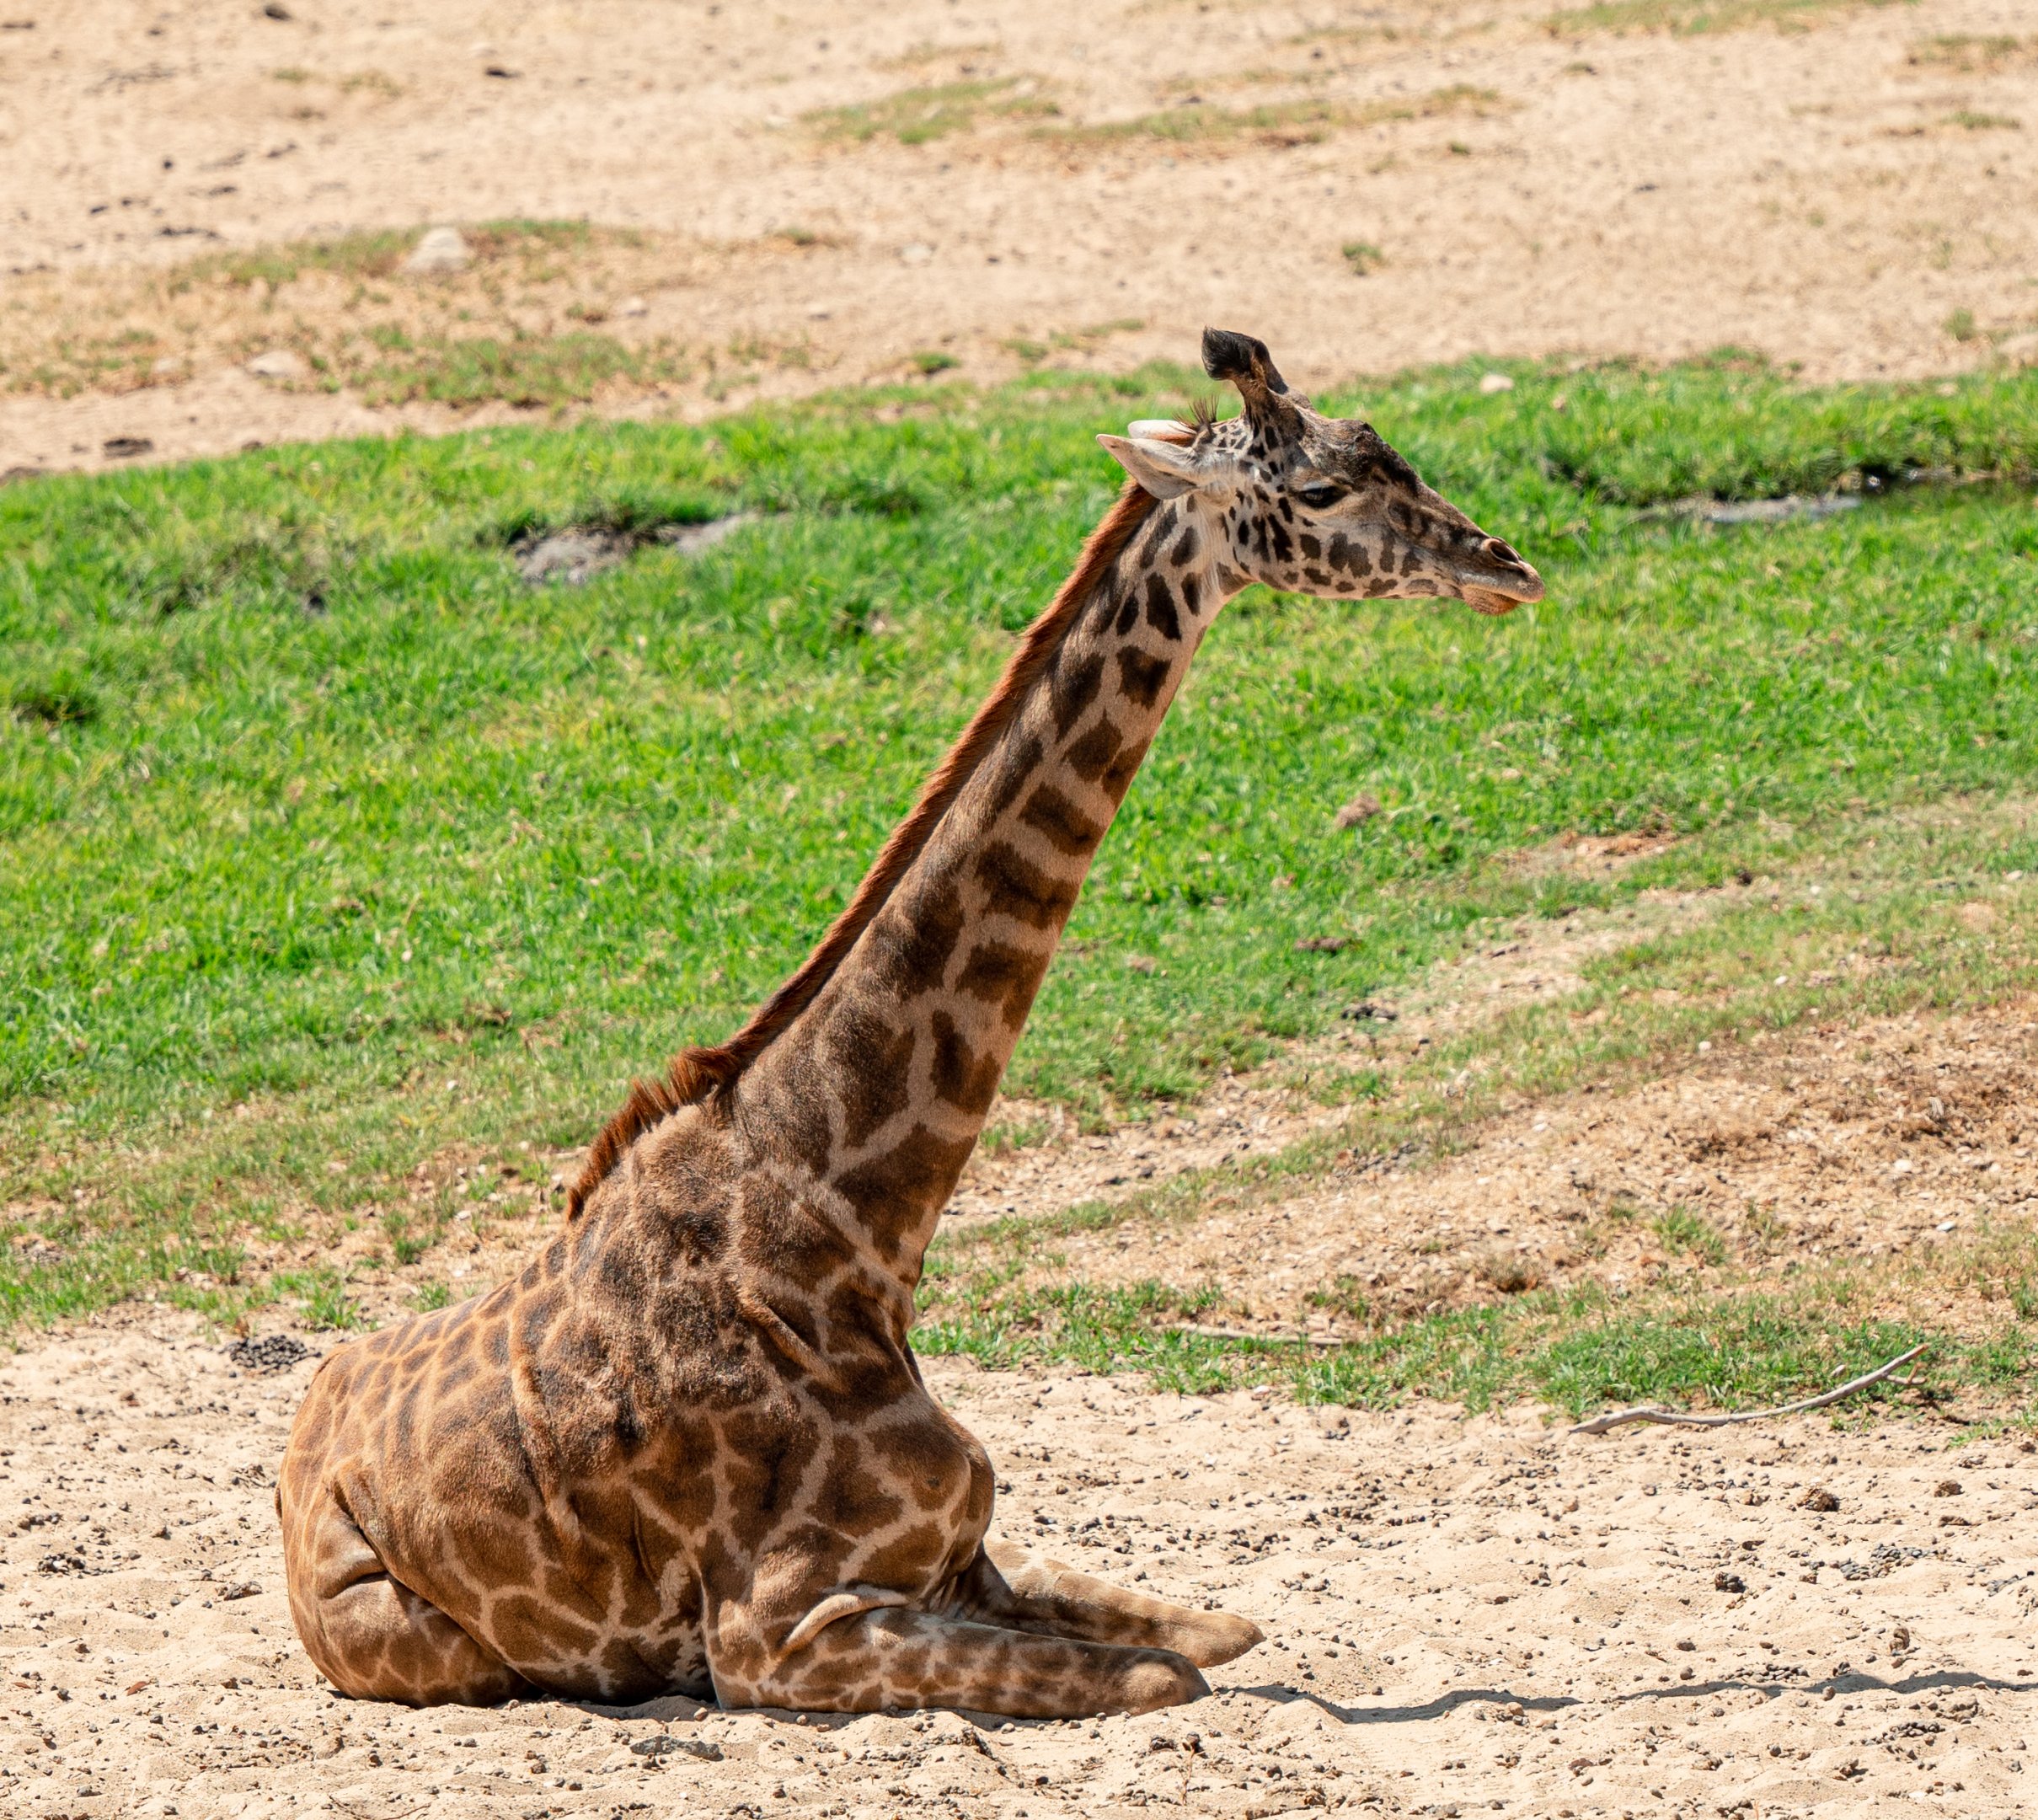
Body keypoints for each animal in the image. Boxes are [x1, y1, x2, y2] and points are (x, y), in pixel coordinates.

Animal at [277, 329, 1544, 1718]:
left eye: (1386, 448)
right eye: (1316, 490)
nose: (1506, 567)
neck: (852, 1236)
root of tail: (301, 1434)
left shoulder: (966, 1564)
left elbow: (1218, 1629)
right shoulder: (777, 1635)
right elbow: (1166, 1675)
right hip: (434, 1647)